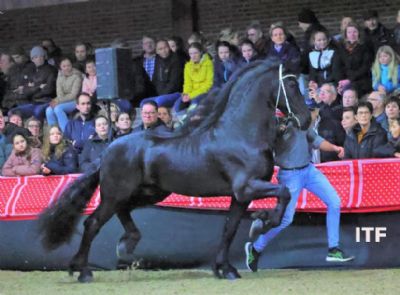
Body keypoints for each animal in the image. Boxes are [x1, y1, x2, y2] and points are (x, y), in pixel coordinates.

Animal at [38, 59, 310, 282]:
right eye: (292, 85)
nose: (306, 119)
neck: (240, 134)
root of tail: (107, 151)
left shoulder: (239, 197)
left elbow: (229, 229)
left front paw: (225, 269)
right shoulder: (246, 188)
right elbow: (284, 192)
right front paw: (262, 221)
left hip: (149, 193)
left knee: (123, 211)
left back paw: (125, 245)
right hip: (116, 193)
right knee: (93, 223)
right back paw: (83, 270)